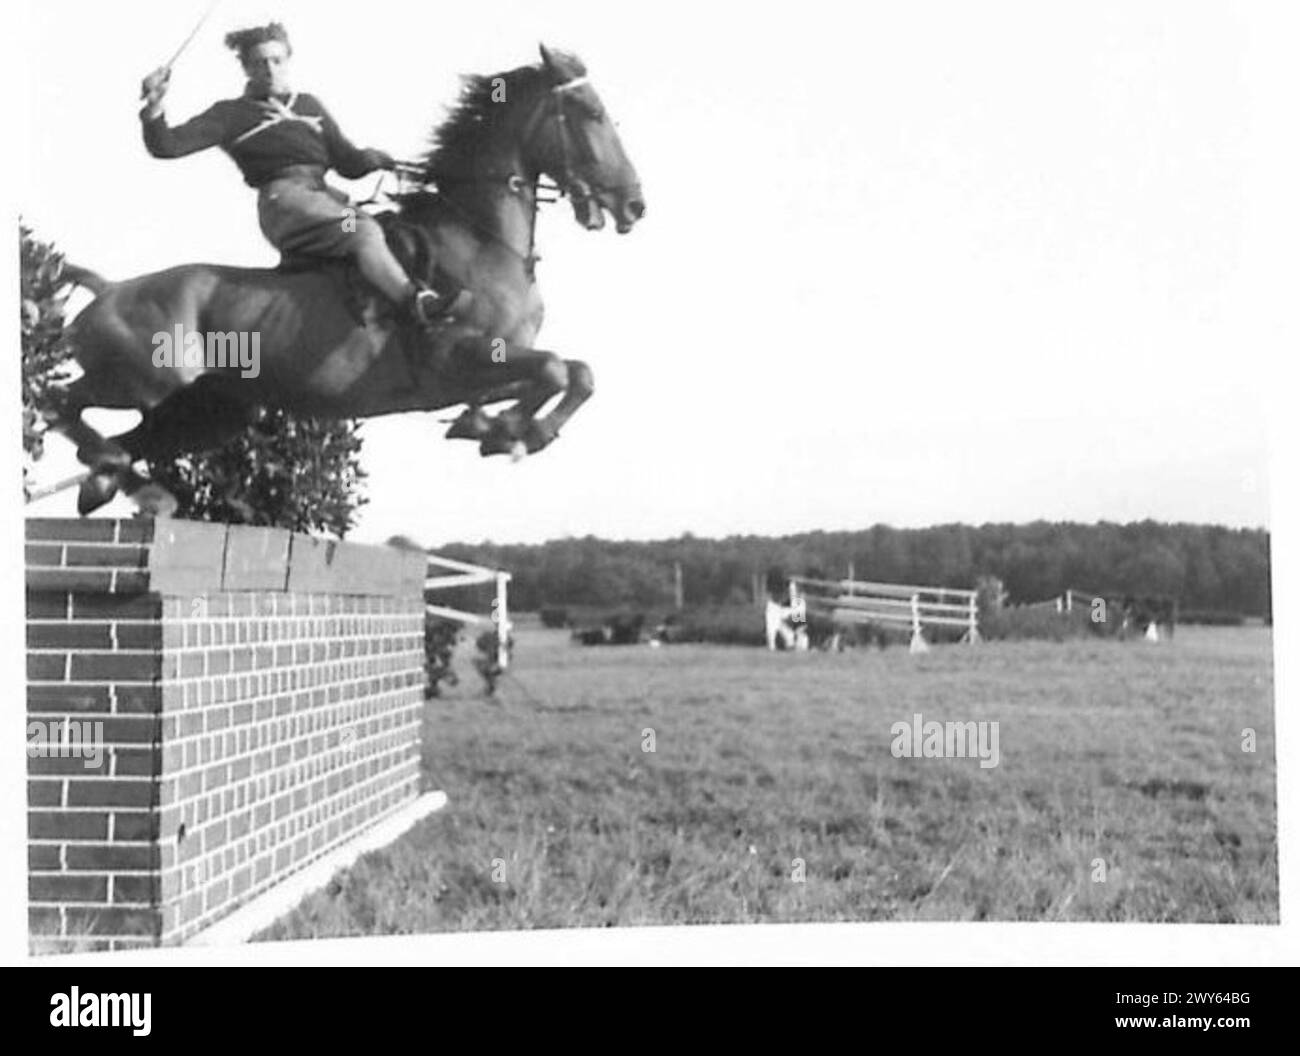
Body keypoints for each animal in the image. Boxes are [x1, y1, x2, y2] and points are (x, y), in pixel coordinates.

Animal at [45, 45, 644, 514]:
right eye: (591, 112)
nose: (634, 205)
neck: (480, 241)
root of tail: (109, 289)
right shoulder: (456, 360)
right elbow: (556, 369)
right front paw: (510, 434)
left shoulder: (483, 374)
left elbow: (575, 372)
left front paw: (496, 431)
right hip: (142, 382)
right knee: (64, 404)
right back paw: (127, 481)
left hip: (211, 413)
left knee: (121, 442)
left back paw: (113, 485)